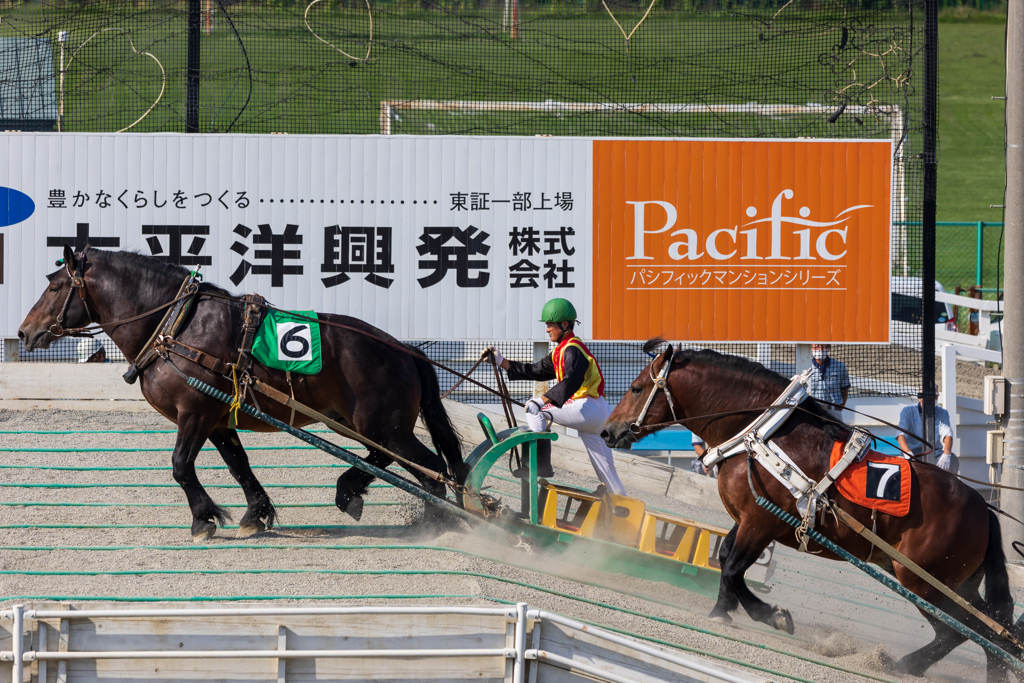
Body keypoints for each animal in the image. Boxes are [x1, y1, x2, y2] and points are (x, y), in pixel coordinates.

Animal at [18, 245, 466, 540]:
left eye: (55, 287)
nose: (23, 332)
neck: (178, 326)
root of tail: (404, 349)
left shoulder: (195, 413)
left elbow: (181, 466)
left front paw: (202, 519)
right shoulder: (217, 418)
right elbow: (239, 465)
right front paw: (256, 512)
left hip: (384, 425)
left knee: (428, 466)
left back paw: (436, 519)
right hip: (363, 424)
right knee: (387, 460)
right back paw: (351, 491)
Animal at [602, 342, 1019, 683]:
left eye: (636, 387)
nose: (608, 431)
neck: (764, 439)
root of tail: (983, 508)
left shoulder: (760, 522)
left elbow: (734, 568)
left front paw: (769, 614)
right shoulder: (747, 520)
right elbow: (724, 559)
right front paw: (723, 609)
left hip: (923, 581)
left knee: (962, 631)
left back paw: (902, 664)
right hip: (956, 584)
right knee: (995, 630)